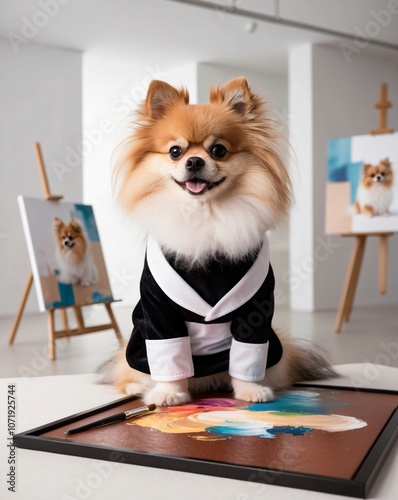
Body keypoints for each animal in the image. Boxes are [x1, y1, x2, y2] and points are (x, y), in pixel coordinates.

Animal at [102, 77, 336, 406]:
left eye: (218, 150)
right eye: (175, 151)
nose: (194, 161)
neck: (206, 215)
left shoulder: (255, 307)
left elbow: (246, 354)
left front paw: (251, 390)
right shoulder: (159, 310)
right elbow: (169, 355)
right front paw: (169, 394)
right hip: (136, 346)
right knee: (130, 371)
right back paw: (139, 388)